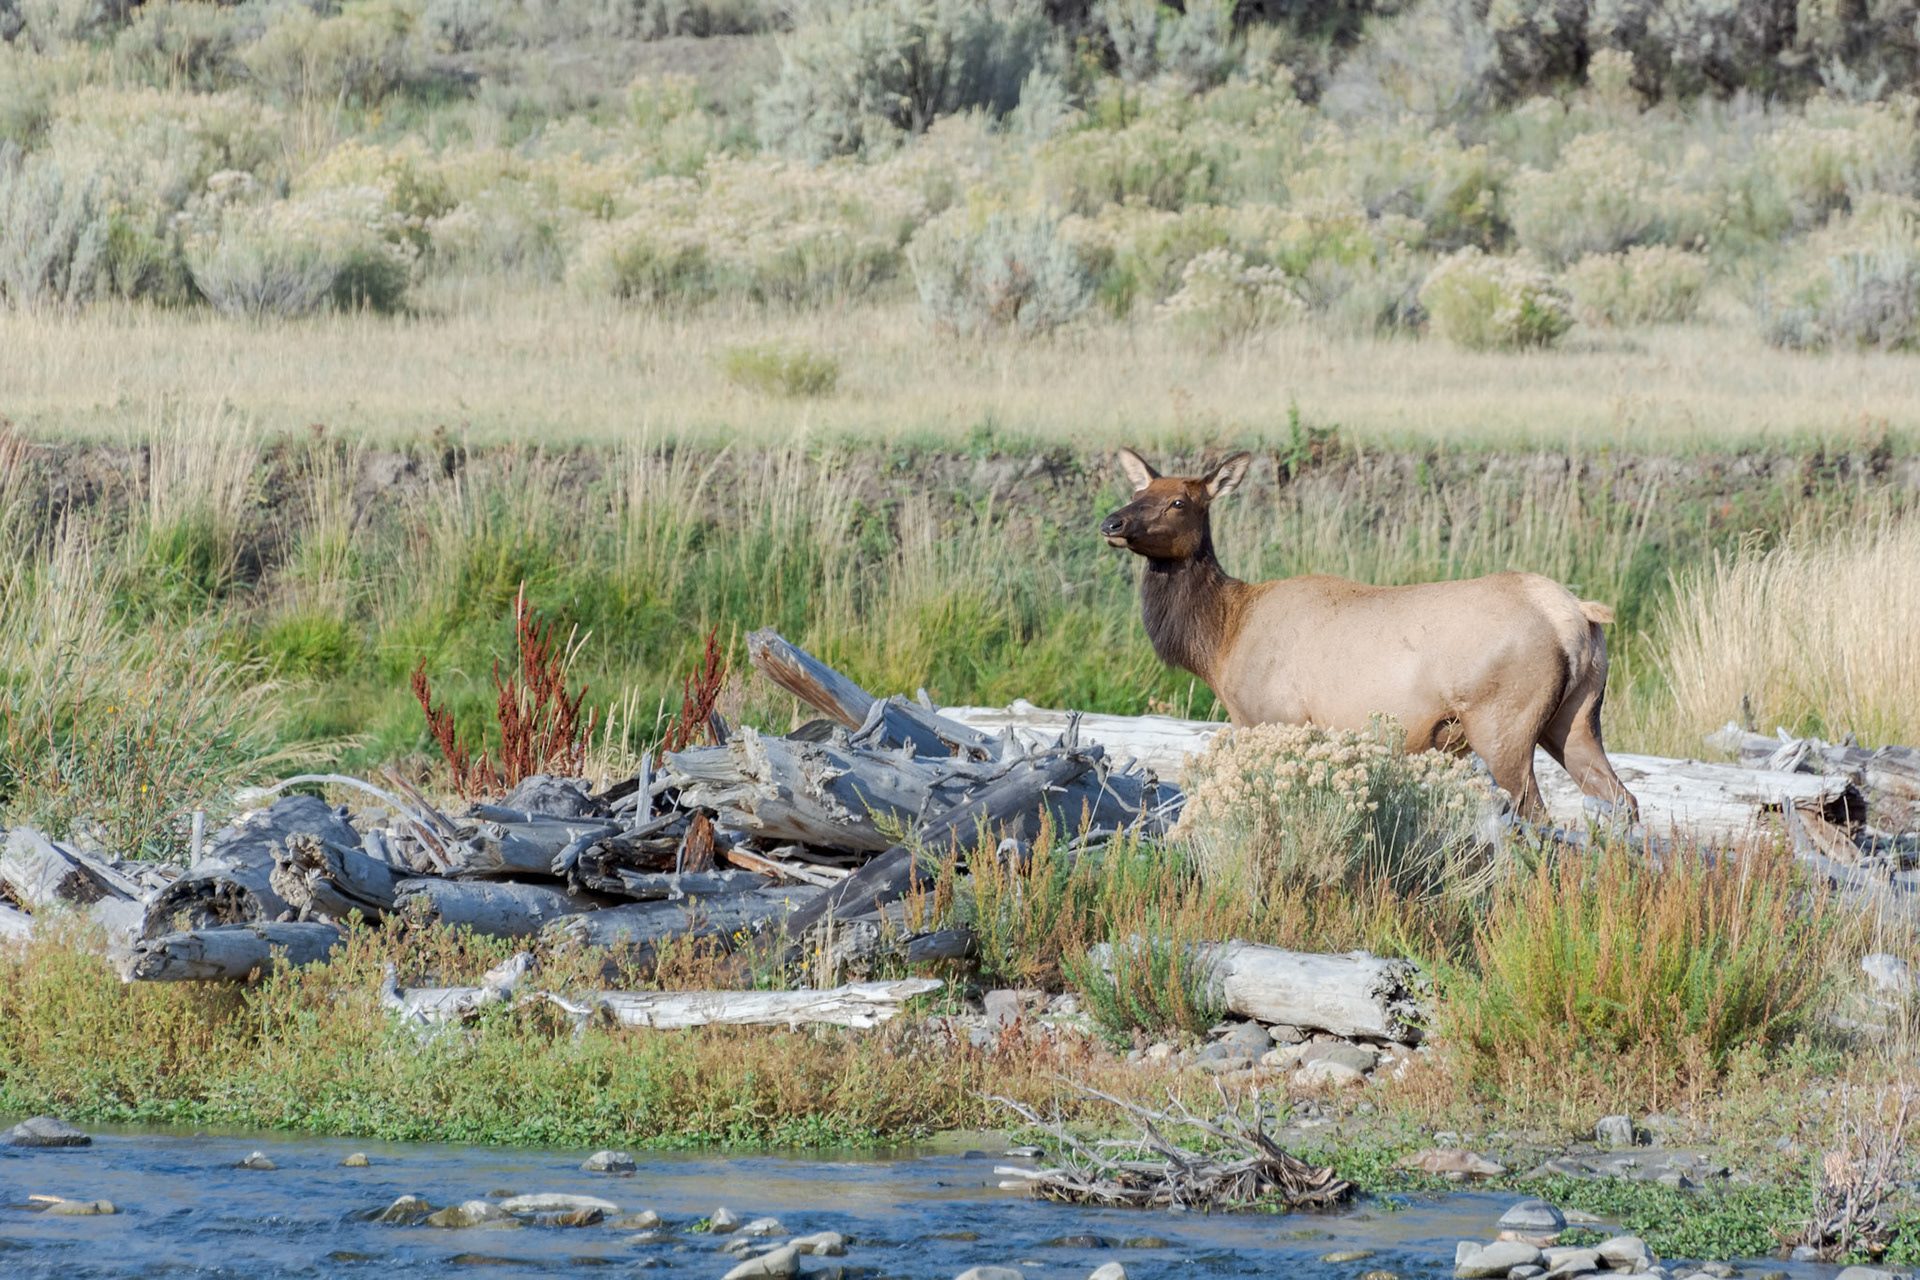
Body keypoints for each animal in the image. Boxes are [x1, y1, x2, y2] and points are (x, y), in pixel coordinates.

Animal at [1099, 448, 1638, 823]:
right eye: (1137, 493)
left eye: (1178, 501)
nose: (1112, 521)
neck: (1221, 640)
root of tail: (1574, 615)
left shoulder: (1273, 716)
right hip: (1577, 716)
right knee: (1623, 801)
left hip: (1502, 722)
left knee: (1538, 815)